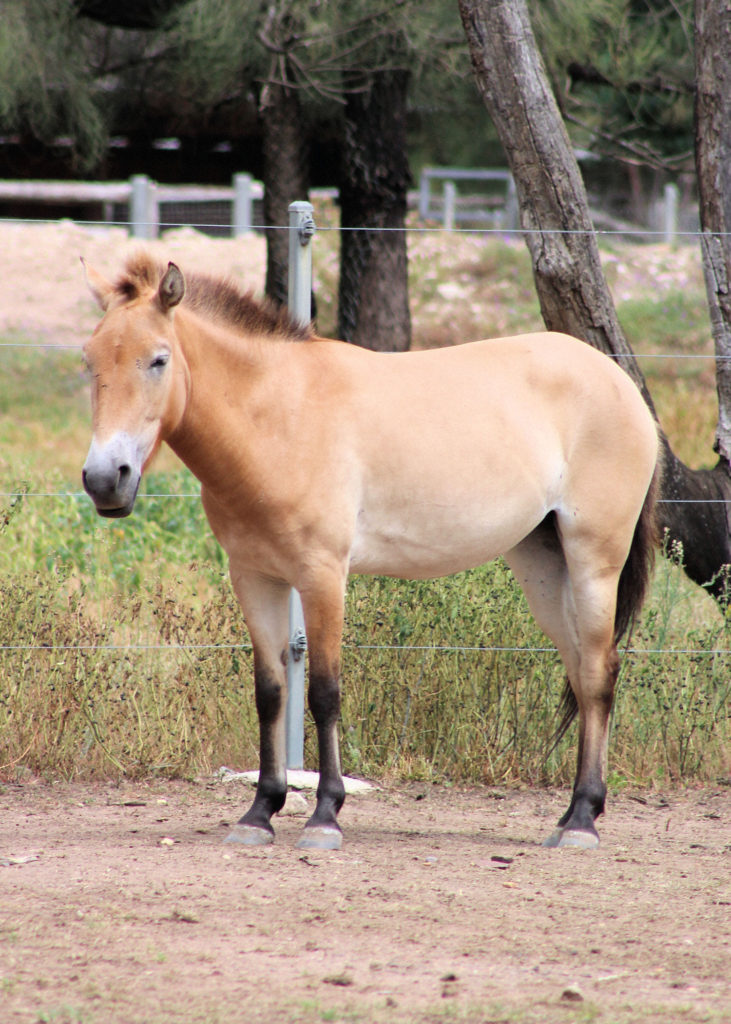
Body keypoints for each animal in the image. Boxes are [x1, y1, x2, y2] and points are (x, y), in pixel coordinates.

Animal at [81, 253, 659, 847]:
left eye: (158, 360)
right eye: (89, 361)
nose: (105, 480)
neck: (279, 416)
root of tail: (617, 378)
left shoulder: (322, 576)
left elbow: (324, 693)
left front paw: (324, 815)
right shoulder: (254, 576)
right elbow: (270, 693)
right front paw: (260, 812)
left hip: (594, 561)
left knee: (598, 673)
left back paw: (583, 820)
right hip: (544, 564)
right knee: (579, 670)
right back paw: (569, 816)